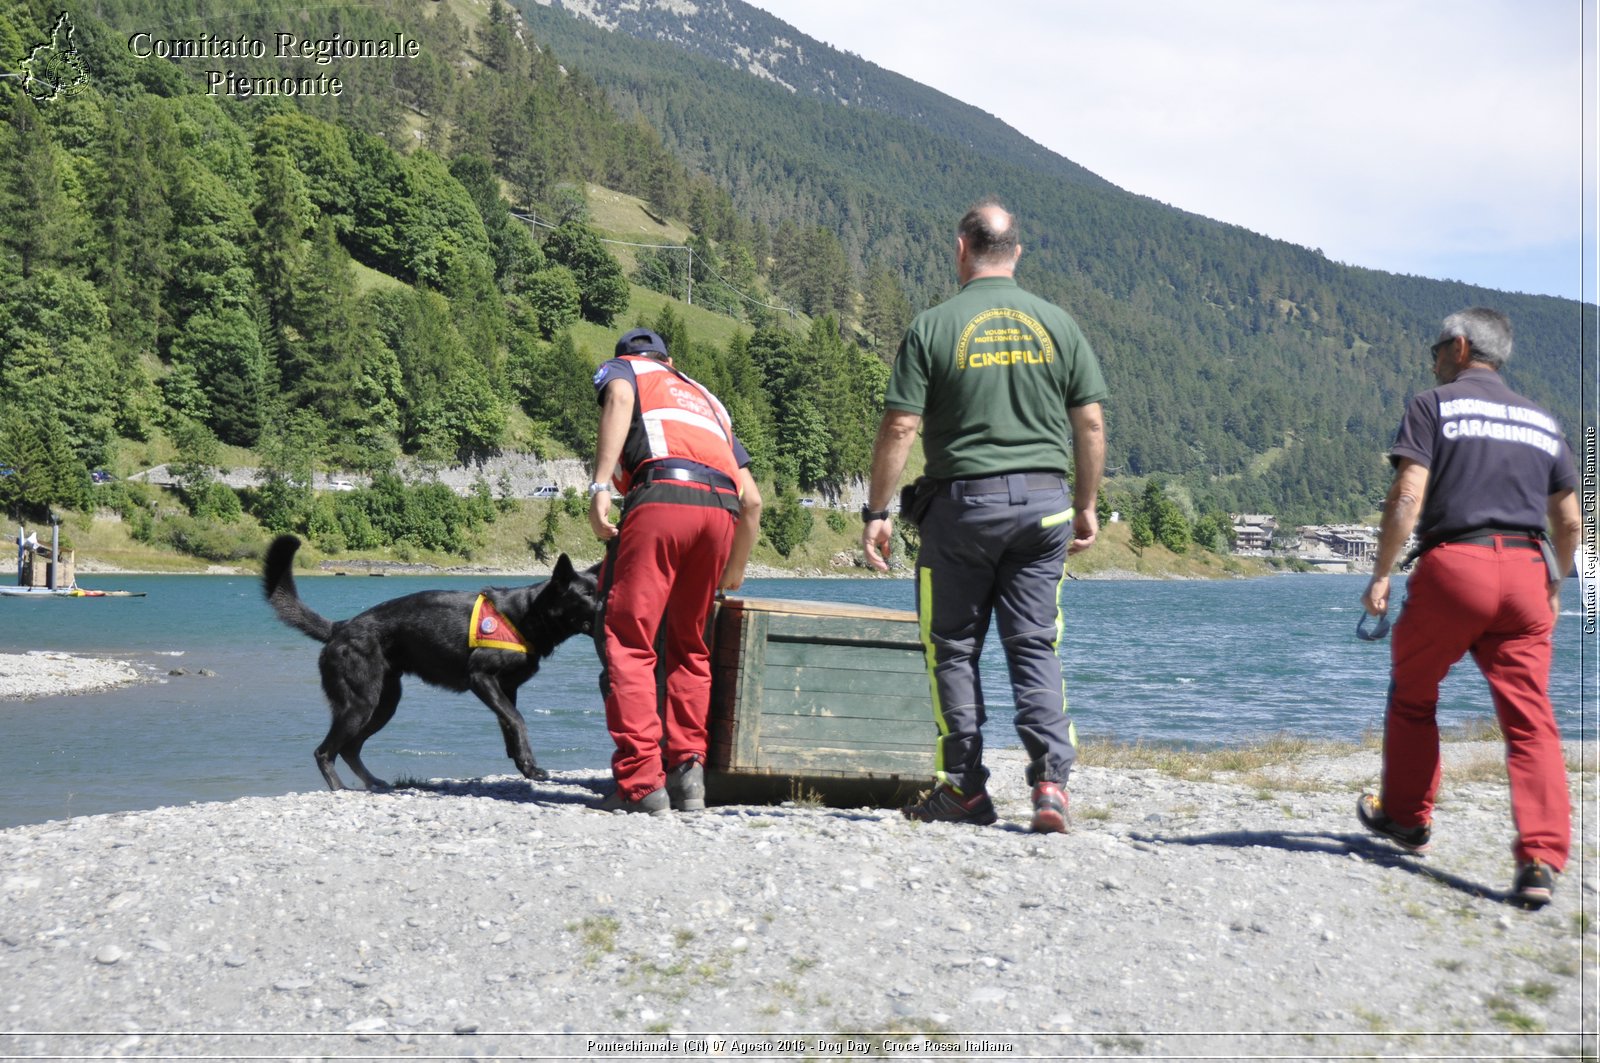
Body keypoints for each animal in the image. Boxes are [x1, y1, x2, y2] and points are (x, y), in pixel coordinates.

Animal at [262, 531, 601, 787]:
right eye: (586, 595)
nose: (607, 605)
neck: (528, 615)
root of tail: (340, 627)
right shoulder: (481, 679)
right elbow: (517, 720)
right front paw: (530, 765)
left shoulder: (506, 689)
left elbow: (509, 725)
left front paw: (525, 766)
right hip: (359, 704)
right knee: (324, 752)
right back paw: (340, 789)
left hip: (383, 705)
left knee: (349, 749)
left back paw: (373, 783)